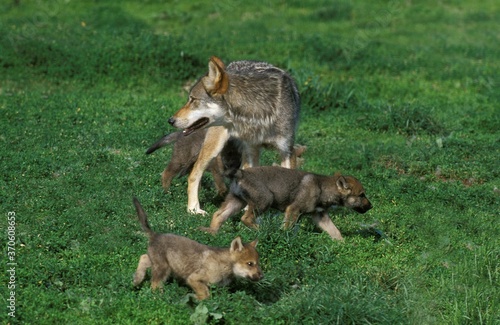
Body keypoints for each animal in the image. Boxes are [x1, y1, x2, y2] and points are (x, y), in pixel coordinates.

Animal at [133, 195, 266, 298]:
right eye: (250, 264)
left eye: (258, 263)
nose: (262, 276)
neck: (225, 265)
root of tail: (155, 235)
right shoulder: (194, 278)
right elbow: (205, 294)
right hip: (163, 268)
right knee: (154, 285)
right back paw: (161, 296)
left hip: (159, 263)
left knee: (143, 258)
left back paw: (137, 279)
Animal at [168, 56, 300, 214]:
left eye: (193, 99)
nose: (170, 120)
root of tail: (231, 65)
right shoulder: (250, 151)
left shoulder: (287, 150)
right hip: (215, 147)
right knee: (194, 173)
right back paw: (194, 209)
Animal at [199, 166, 372, 239]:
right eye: (362, 195)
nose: (371, 206)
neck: (323, 188)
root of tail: (240, 173)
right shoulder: (293, 210)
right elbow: (287, 228)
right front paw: (282, 235)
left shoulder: (320, 216)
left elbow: (335, 231)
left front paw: (343, 244)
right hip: (264, 201)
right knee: (245, 218)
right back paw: (262, 230)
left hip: (236, 202)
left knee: (218, 215)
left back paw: (212, 232)